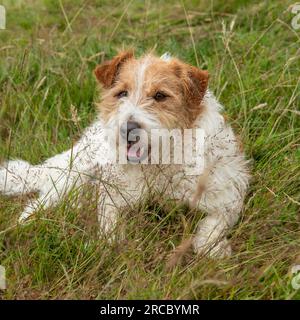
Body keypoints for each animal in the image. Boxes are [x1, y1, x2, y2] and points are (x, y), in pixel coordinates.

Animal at [0, 51, 250, 258]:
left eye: (160, 96)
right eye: (122, 93)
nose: (128, 129)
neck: (158, 163)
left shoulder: (226, 195)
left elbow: (211, 226)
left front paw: (214, 250)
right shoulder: (112, 194)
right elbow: (110, 224)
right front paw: (110, 245)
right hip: (72, 177)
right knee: (36, 206)